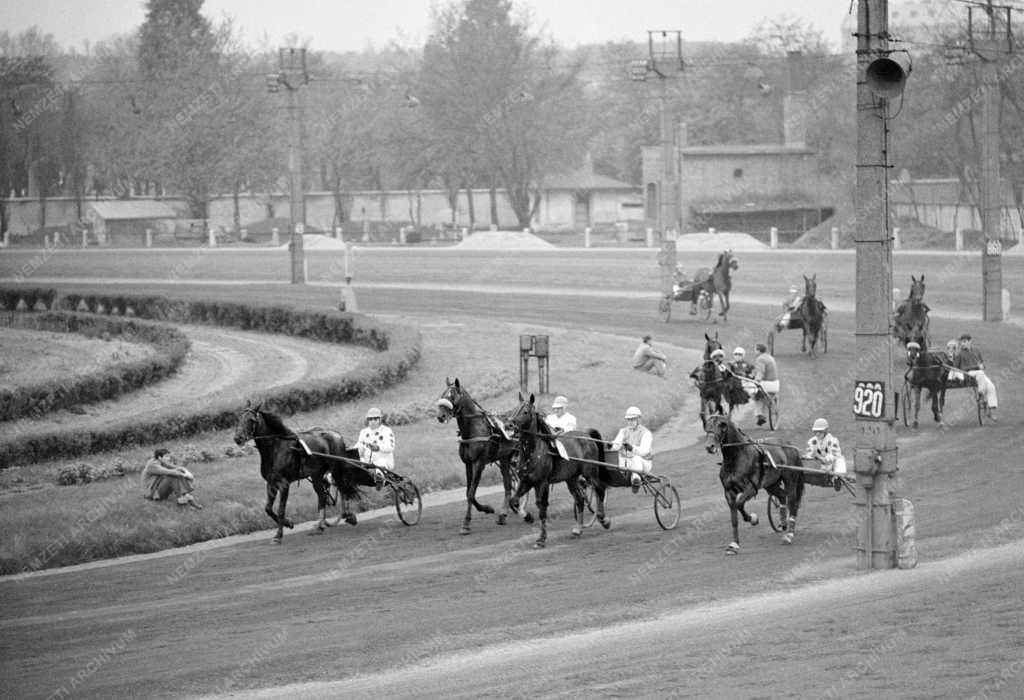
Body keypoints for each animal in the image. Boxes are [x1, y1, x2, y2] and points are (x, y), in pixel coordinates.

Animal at [233, 401, 364, 544]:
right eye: (238, 419)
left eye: (251, 420)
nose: (238, 438)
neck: (276, 448)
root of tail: (336, 434)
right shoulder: (271, 483)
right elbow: (268, 508)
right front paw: (288, 523)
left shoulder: (284, 484)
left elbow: (281, 510)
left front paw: (278, 535)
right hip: (317, 474)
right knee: (324, 495)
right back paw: (324, 525)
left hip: (336, 468)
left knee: (341, 488)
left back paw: (342, 518)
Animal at [434, 380, 516, 532]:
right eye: (442, 395)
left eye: (452, 395)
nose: (441, 416)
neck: (473, 429)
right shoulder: (468, 464)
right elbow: (468, 492)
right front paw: (487, 509)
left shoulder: (479, 463)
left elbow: (471, 493)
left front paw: (466, 523)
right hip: (504, 459)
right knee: (508, 485)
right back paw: (504, 514)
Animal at [503, 392, 606, 548]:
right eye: (515, 410)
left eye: (525, 412)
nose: (508, 425)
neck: (533, 452)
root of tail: (586, 435)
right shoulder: (526, 481)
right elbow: (513, 501)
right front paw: (528, 517)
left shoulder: (542, 483)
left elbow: (542, 508)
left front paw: (541, 539)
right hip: (571, 478)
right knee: (579, 499)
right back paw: (578, 529)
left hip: (589, 473)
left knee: (599, 488)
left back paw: (604, 519)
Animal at [704, 413, 806, 556]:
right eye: (707, 426)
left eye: (722, 425)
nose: (710, 446)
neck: (738, 457)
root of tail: (789, 445)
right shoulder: (728, 492)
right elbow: (734, 519)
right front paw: (734, 545)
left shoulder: (752, 488)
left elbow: (740, 503)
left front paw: (753, 518)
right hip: (771, 484)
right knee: (782, 496)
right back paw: (782, 523)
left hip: (790, 480)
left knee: (792, 502)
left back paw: (789, 535)